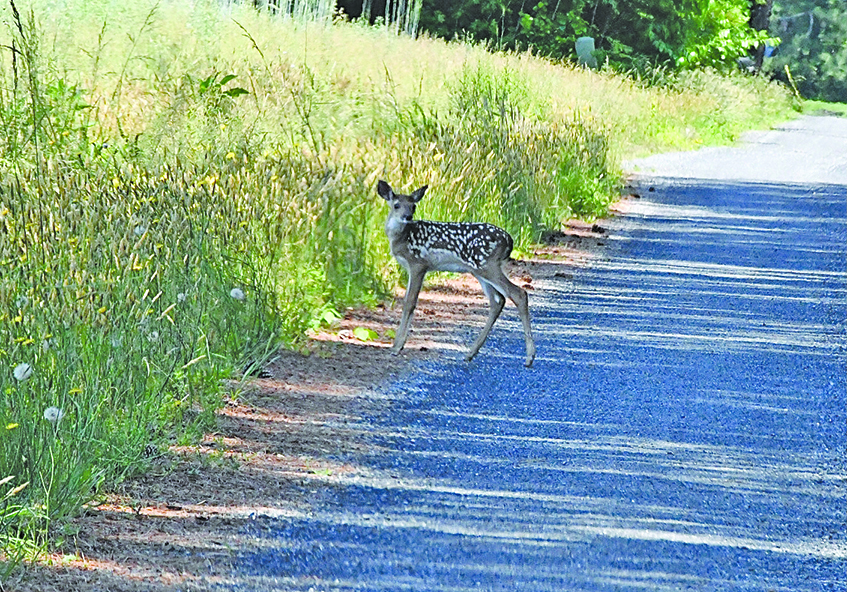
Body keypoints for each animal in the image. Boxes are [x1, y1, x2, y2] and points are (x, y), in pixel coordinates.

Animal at [377, 180, 536, 367]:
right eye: (396, 205)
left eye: (413, 206)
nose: (407, 216)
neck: (402, 238)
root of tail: (509, 241)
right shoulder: (413, 268)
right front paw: (397, 344)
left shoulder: (418, 264)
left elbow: (410, 303)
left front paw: (397, 347)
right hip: (480, 269)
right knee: (498, 300)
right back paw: (470, 353)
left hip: (486, 265)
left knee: (518, 293)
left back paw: (529, 357)